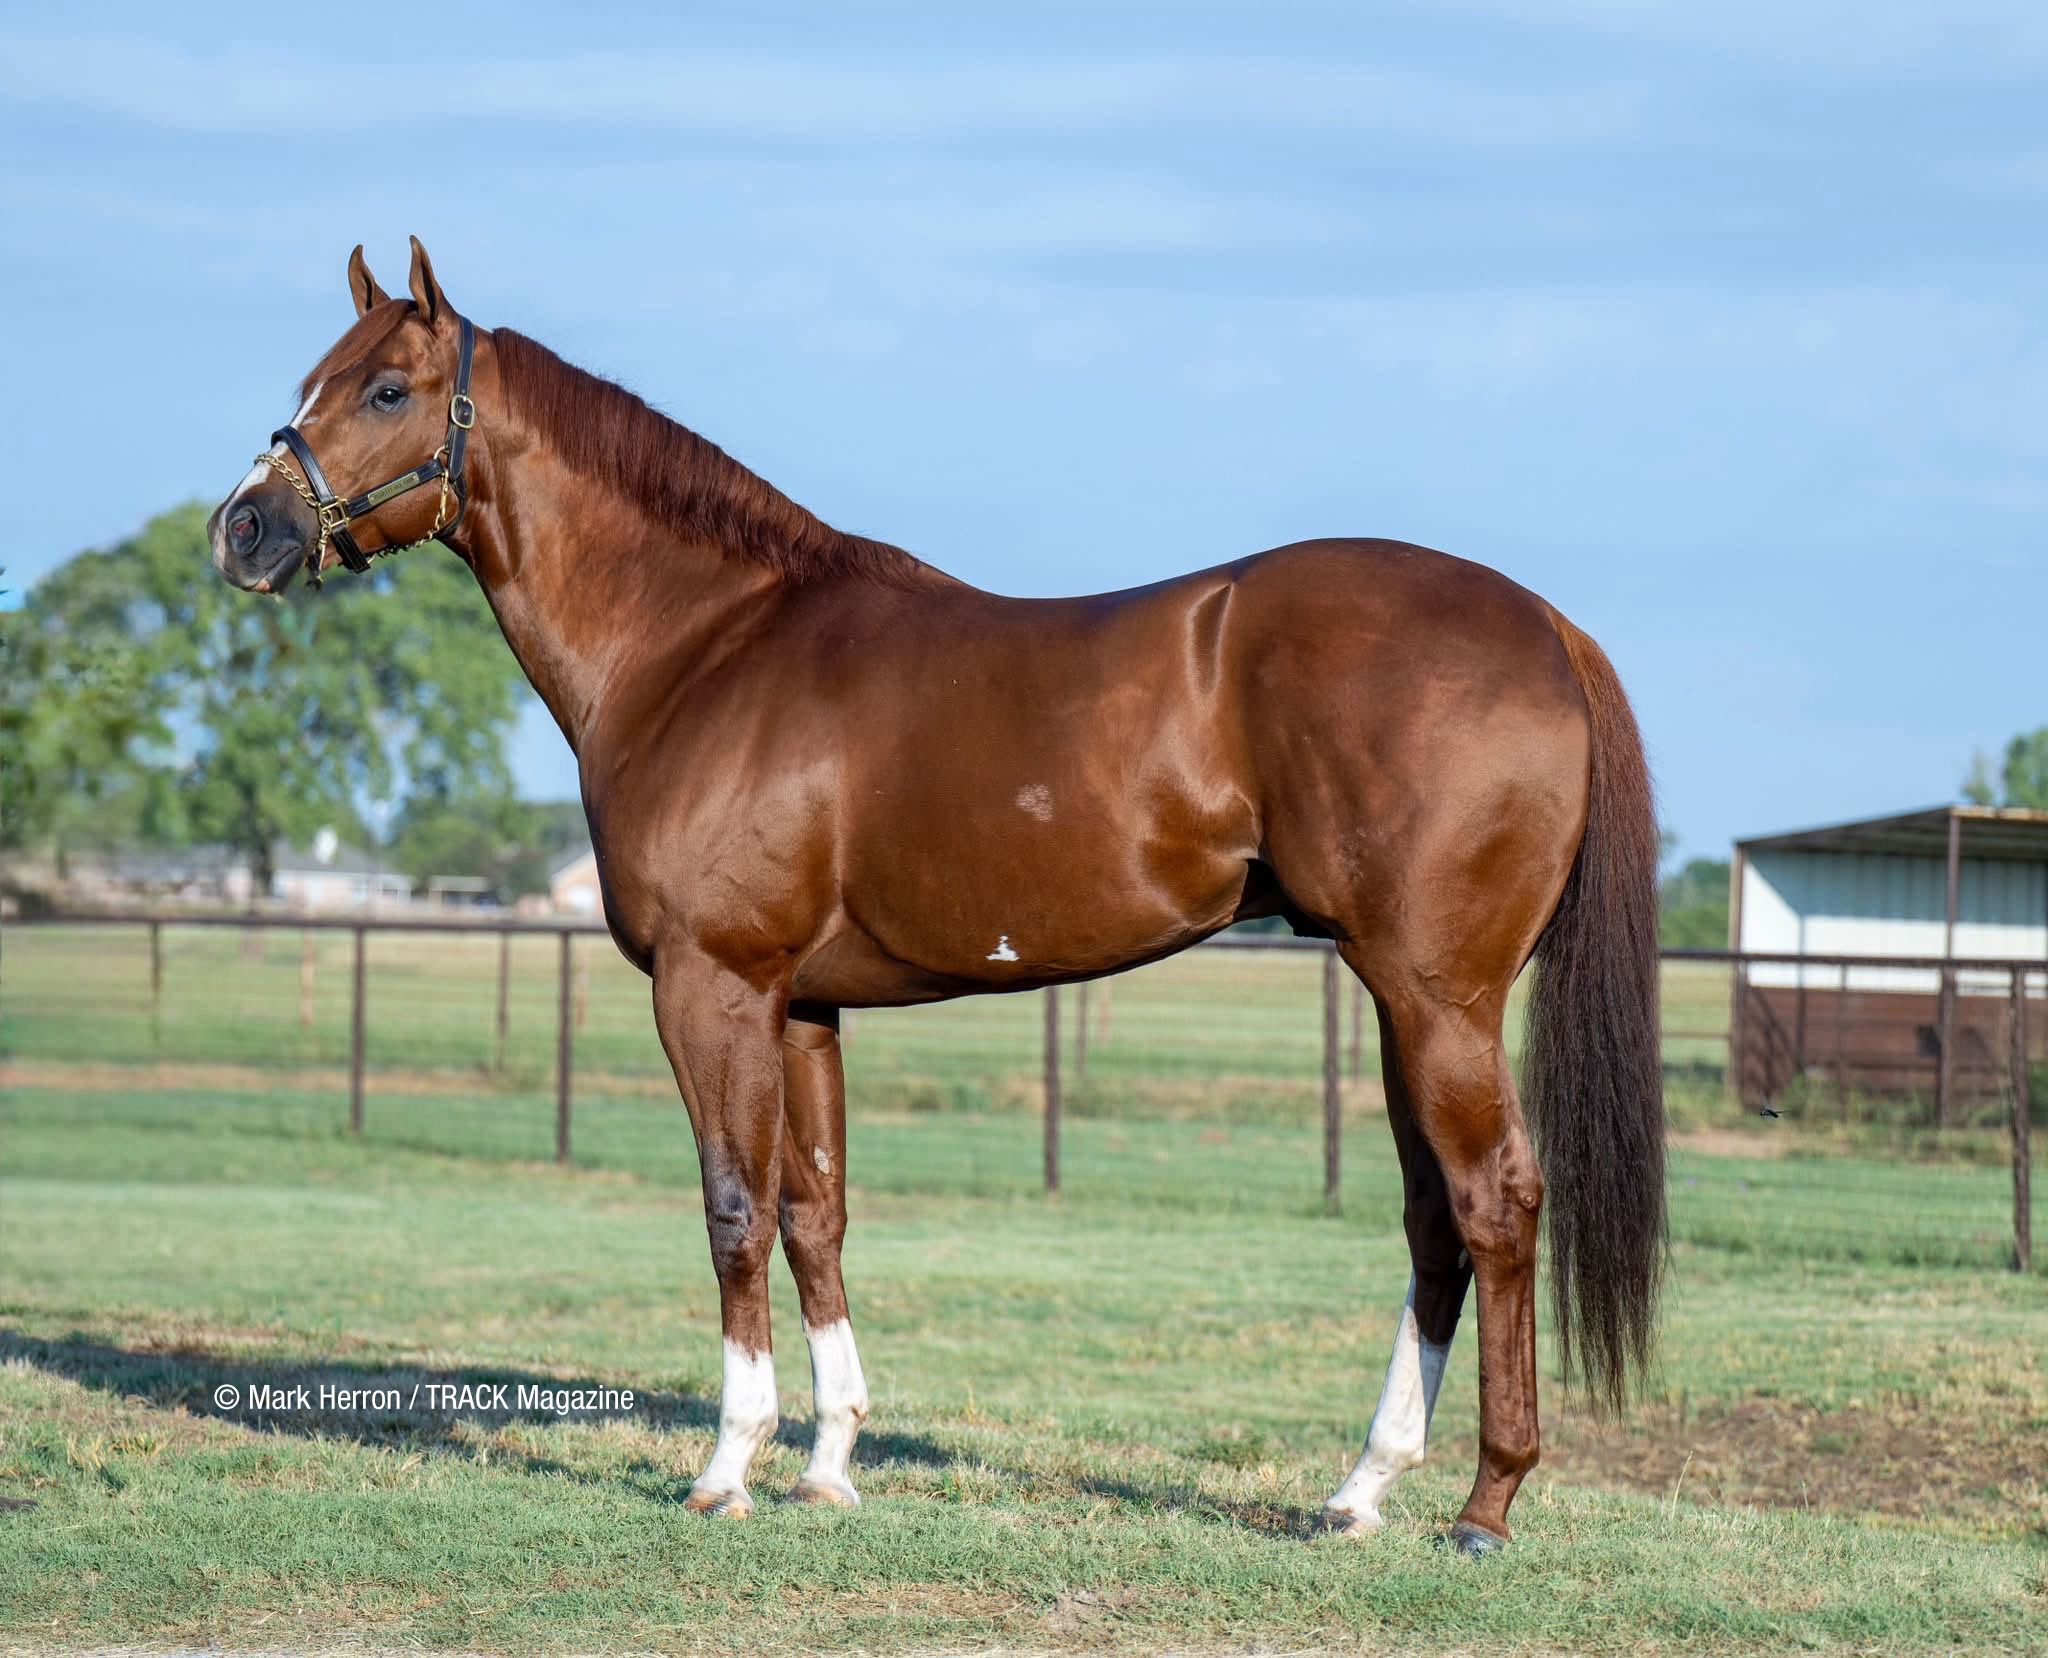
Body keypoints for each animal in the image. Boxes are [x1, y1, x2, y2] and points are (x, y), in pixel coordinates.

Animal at [209, 238, 1664, 1553]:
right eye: (313, 379)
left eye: (386, 389)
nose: (244, 529)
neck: (704, 642)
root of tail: (1543, 626)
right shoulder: (801, 1004)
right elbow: (816, 1212)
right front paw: (827, 1462)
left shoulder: (712, 984)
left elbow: (733, 1207)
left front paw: (727, 1466)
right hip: (1398, 995)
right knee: (1432, 1221)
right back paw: (1360, 1489)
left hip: (1435, 996)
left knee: (1494, 1202)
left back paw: (1483, 1505)